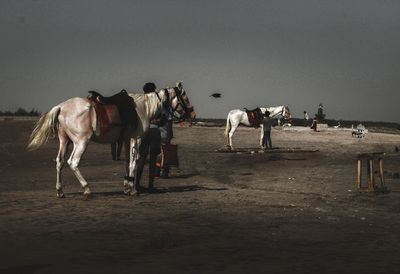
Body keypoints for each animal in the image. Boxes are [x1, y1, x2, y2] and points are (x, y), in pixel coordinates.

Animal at [27, 80, 195, 198]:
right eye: (185, 96)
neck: (144, 107)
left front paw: (127, 186)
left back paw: (60, 191)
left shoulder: (126, 140)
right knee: (73, 162)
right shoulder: (136, 138)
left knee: (59, 162)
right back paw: (87, 189)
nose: (191, 114)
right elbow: (134, 162)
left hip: (64, 141)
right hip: (81, 142)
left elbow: (128, 162)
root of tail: (61, 106)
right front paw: (132, 190)